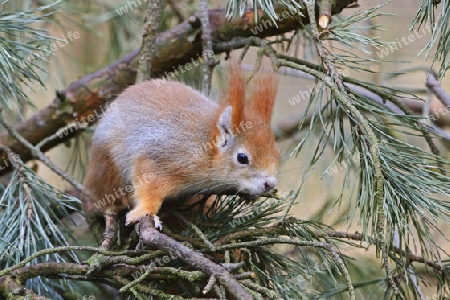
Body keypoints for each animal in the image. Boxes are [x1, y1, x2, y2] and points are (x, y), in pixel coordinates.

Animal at [84, 60, 280, 230]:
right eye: (242, 158)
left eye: (276, 151)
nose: (270, 183)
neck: (206, 147)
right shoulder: (162, 158)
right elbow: (148, 186)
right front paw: (145, 211)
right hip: (107, 164)